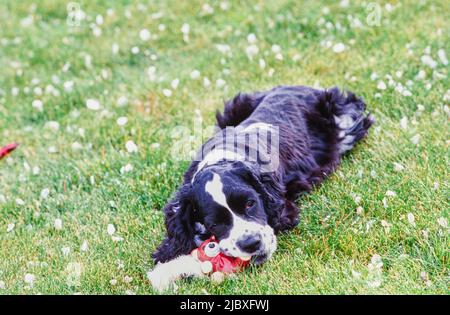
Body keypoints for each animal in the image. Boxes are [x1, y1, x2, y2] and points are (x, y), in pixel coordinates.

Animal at [149, 85, 374, 288]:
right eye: (215, 223)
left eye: (250, 203)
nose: (251, 243)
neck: (224, 155)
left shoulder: (283, 208)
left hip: (344, 119)